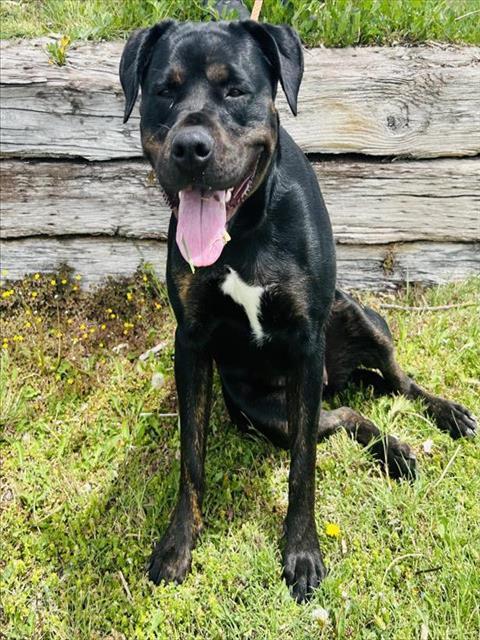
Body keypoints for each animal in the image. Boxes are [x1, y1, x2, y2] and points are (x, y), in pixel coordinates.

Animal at [120, 18, 476, 600]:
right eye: (163, 92)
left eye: (235, 90)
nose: (190, 147)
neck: (242, 229)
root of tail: (339, 378)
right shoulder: (190, 343)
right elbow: (191, 456)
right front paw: (178, 544)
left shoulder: (307, 341)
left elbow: (303, 467)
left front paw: (302, 552)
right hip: (264, 412)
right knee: (346, 414)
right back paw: (391, 446)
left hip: (360, 319)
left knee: (396, 380)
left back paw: (441, 417)